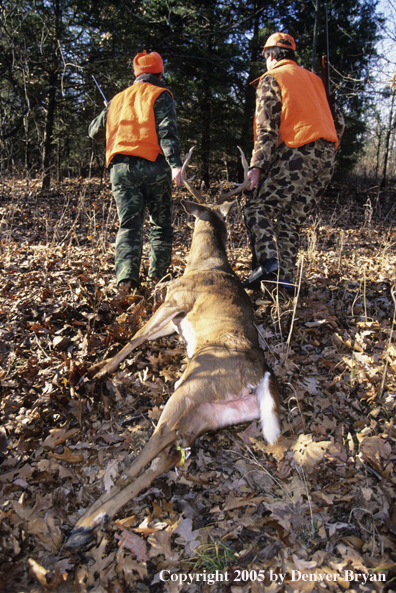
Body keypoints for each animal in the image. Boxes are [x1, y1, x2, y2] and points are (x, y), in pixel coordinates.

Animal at [65, 147, 280, 544]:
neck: (205, 261)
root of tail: (260, 377)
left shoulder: (175, 300)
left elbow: (135, 336)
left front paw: (100, 368)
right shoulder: (176, 321)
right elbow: (144, 336)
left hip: (191, 389)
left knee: (144, 457)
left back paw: (85, 519)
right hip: (207, 414)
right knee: (170, 457)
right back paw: (91, 521)